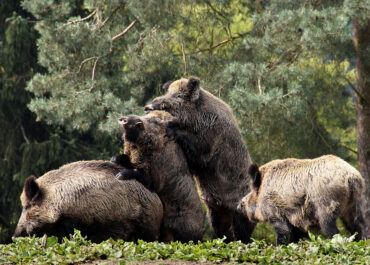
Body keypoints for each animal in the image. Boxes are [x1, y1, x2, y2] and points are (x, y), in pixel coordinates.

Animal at [111, 109, 204, 241]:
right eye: (147, 115)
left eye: (155, 121)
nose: (125, 118)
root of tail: (201, 233)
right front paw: (114, 159)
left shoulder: (156, 178)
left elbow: (143, 176)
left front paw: (119, 176)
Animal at [145, 76, 254, 241]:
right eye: (168, 93)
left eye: (179, 96)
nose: (147, 107)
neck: (196, 120)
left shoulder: (208, 143)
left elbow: (197, 149)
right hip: (214, 212)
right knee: (223, 230)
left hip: (240, 211)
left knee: (242, 234)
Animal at [237, 155, 368, 243]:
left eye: (251, 191)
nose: (239, 205)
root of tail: (351, 177)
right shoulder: (295, 220)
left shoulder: (276, 213)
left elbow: (283, 233)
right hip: (352, 206)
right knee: (358, 227)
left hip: (325, 204)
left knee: (331, 230)